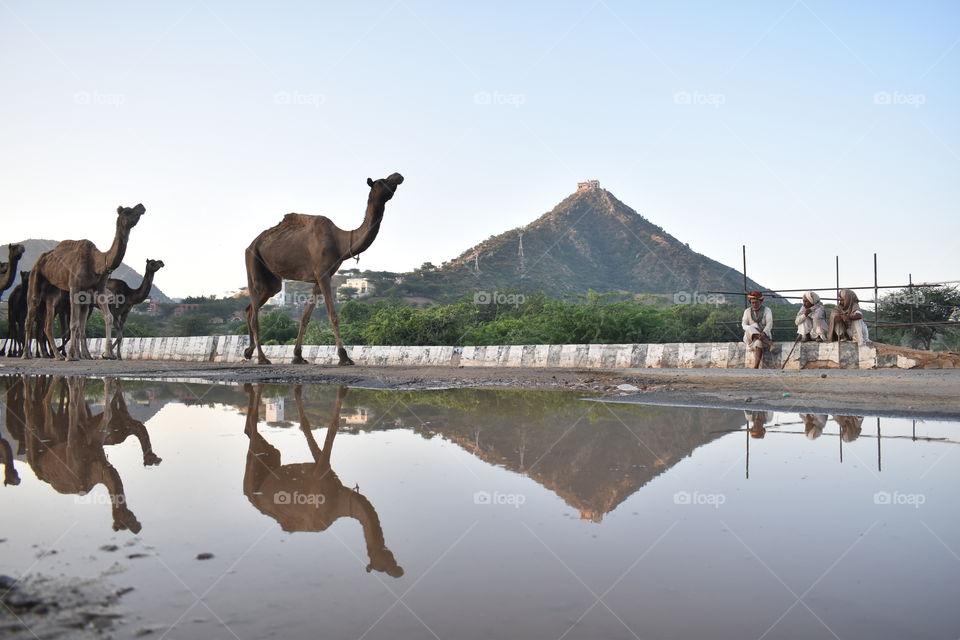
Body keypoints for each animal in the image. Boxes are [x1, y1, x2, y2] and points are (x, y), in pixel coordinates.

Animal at [23, 204, 144, 360]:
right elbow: (74, 323)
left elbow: (108, 317)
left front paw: (107, 354)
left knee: (47, 324)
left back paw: (58, 355)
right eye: (128, 211)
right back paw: (26, 354)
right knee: (30, 314)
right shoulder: (74, 287)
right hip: (35, 277)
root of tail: (41, 259)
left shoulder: (98, 289)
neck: (97, 262)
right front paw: (71, 355)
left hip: (52, 291)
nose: (141, 206)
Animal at [244, 384, 404, 580]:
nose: (398, 571)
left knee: (255, 434)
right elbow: (326, 426)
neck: (340, 499)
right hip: (254, 473)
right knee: (252, 429)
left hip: (272, 457)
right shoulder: (322, 474)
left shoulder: (325, 473)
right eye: (381, 564)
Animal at [246, 174, 404, 364]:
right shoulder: (323, 274)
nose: (398, 176)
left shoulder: (320, 276)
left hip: (272, 281)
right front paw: (344, 356)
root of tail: (251, 244)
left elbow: (305, 317)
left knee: (251, 307)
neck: (341, 242)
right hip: (253, 262)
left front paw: (298, 356)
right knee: (254, 315)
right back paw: (262, 358)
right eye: (381, 181)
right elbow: (333, 315)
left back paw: (248, 352)